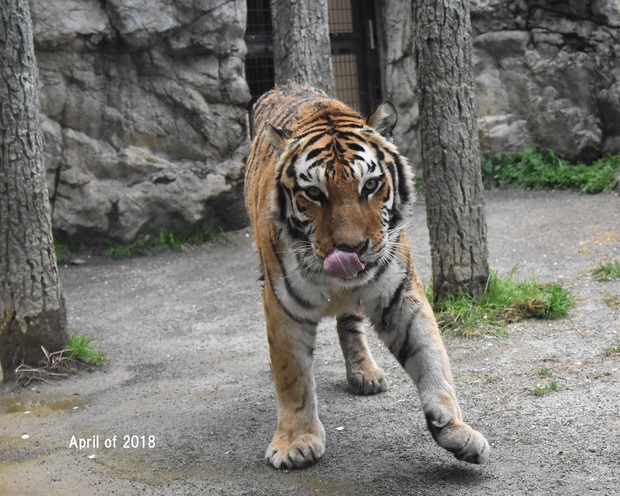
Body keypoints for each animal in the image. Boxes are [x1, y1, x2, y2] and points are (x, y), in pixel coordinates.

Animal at [242, 83, 490, 470]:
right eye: (313, 193)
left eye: (371, 185)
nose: (352, 249)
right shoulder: (283, 306)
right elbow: (292, 376)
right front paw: (295, 443)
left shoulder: (400, 291)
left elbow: (432, 357)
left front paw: (454, 428)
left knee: (351, 324)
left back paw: (365, 374)